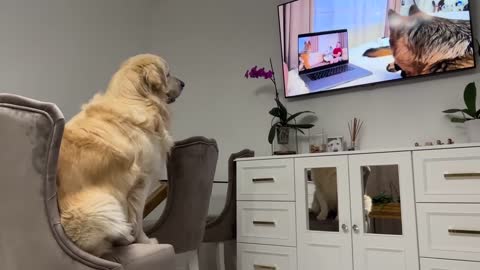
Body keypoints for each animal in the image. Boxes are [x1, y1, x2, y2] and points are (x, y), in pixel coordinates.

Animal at [55, 53, 184, 258]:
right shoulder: (142, 181)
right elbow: (137, 218)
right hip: (105, 205)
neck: (136, 98)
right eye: (168, 73)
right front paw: (146, 241)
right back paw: (125, 238)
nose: (183, 84)